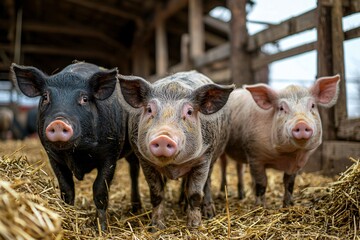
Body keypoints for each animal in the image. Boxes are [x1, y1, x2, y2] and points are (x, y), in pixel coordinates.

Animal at [11, 62, 141, 231]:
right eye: (45, 97)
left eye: (84, 99)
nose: (58, 122)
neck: (77, 153)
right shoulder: (53, 157)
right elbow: (67, 189)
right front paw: (67, 218)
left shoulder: (110, 154)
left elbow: (100, 190)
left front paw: (102, 229)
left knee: (134, 171)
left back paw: (136, 209)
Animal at [119, 71, 233, 229]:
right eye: (149, 109)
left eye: (189, 111)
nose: (163, 137)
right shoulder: (144, 160)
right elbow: (156, 193)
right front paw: (156, 226)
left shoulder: (204, 157)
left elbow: (195, 194)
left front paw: (194, 226)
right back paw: (181, 204)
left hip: (215, 155)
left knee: (207, 182)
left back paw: (208, 213)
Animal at [219, 74, 340, 206]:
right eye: (282, 108)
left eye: (312, 105)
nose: (301, 123)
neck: (285, 156)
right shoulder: (254, 155)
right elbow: (262, 183)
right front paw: (261, 206)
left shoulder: (297, 163)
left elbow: (289, 183)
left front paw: (288, 205)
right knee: (224, 164)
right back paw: (223, 191)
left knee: (239, 167)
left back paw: (242, 195)